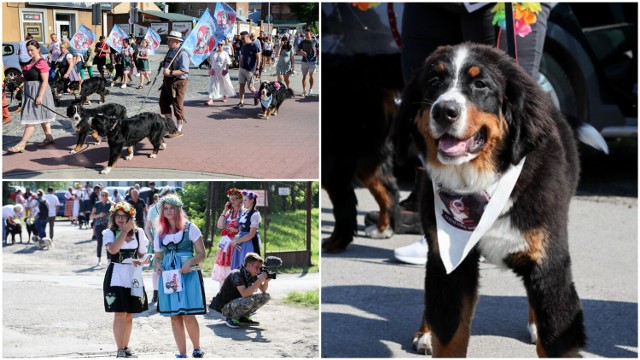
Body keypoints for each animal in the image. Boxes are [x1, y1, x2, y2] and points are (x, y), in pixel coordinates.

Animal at [398, 43, 588, 358]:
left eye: (480, 84)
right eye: (434, 82)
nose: (444, 111)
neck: (479, 185)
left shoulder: (549, 263)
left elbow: (555, 337)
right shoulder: (452, 266)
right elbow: (449, 334)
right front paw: (434, 337)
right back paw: (425, 334)